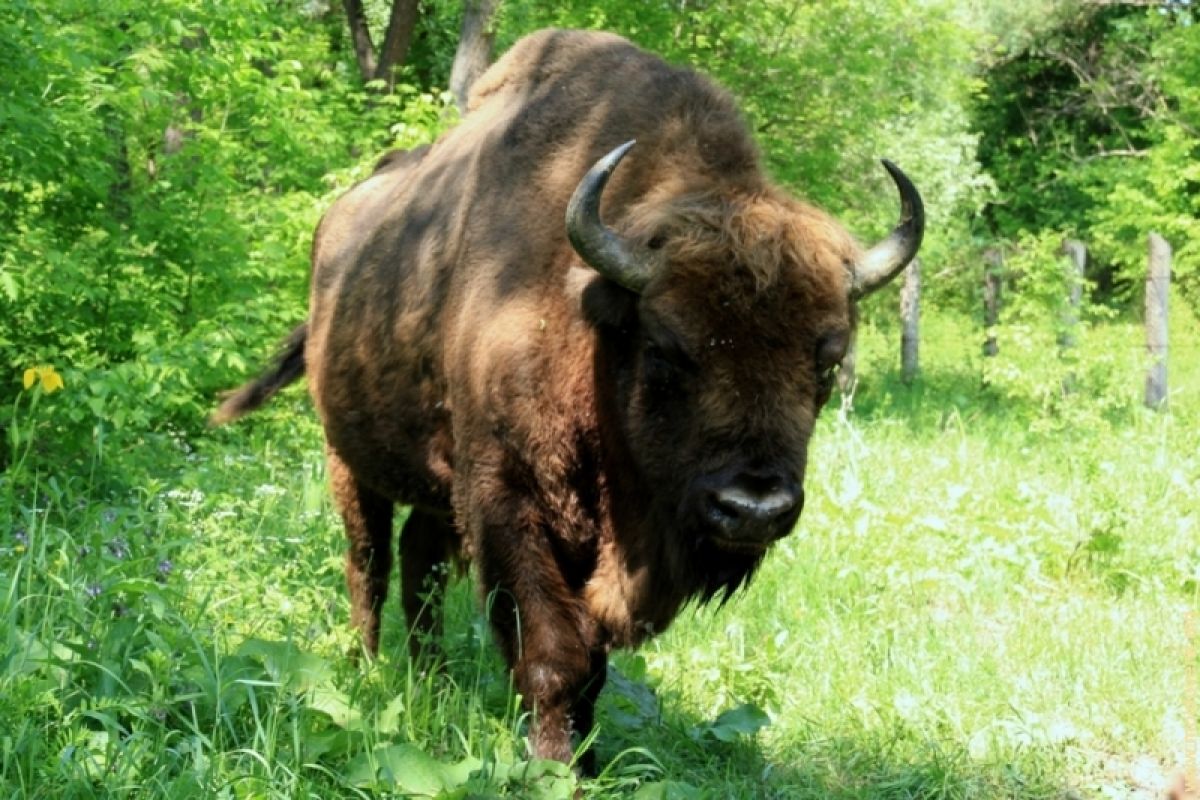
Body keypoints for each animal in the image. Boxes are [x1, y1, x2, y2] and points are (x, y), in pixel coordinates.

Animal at [216, 29, 921, 767]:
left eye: (827, 359)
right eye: (665, 348)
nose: (752, 507)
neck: (585, 319)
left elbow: (593, 664)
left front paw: (583, 756)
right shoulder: (506, 500)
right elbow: (554, 651)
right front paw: (553, 765)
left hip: (435, 486)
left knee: (418, 563)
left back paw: (432, 681)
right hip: (347, 458)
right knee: (369, 561)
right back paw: (368, 669)